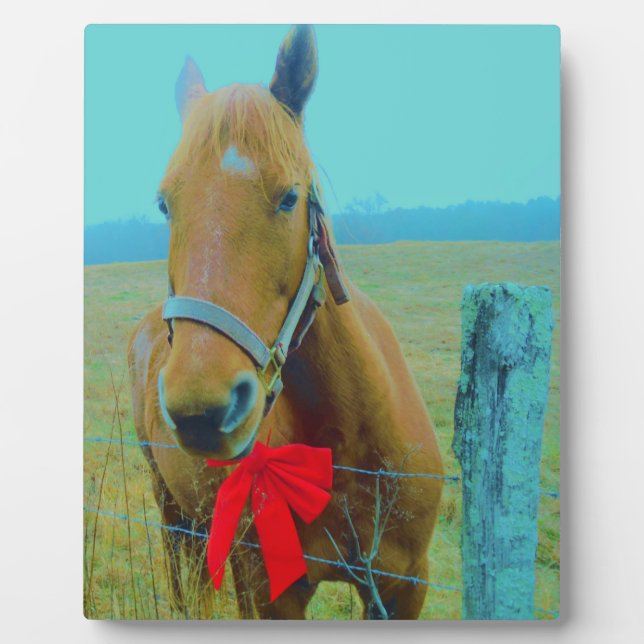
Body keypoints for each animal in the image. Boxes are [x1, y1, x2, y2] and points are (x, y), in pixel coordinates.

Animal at [128, 24, 443, 620]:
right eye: (164, 205)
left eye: (290, 197)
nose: (202, 410)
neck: (347, 445)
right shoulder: (269, 591)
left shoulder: (404, 584)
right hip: (172, 510)